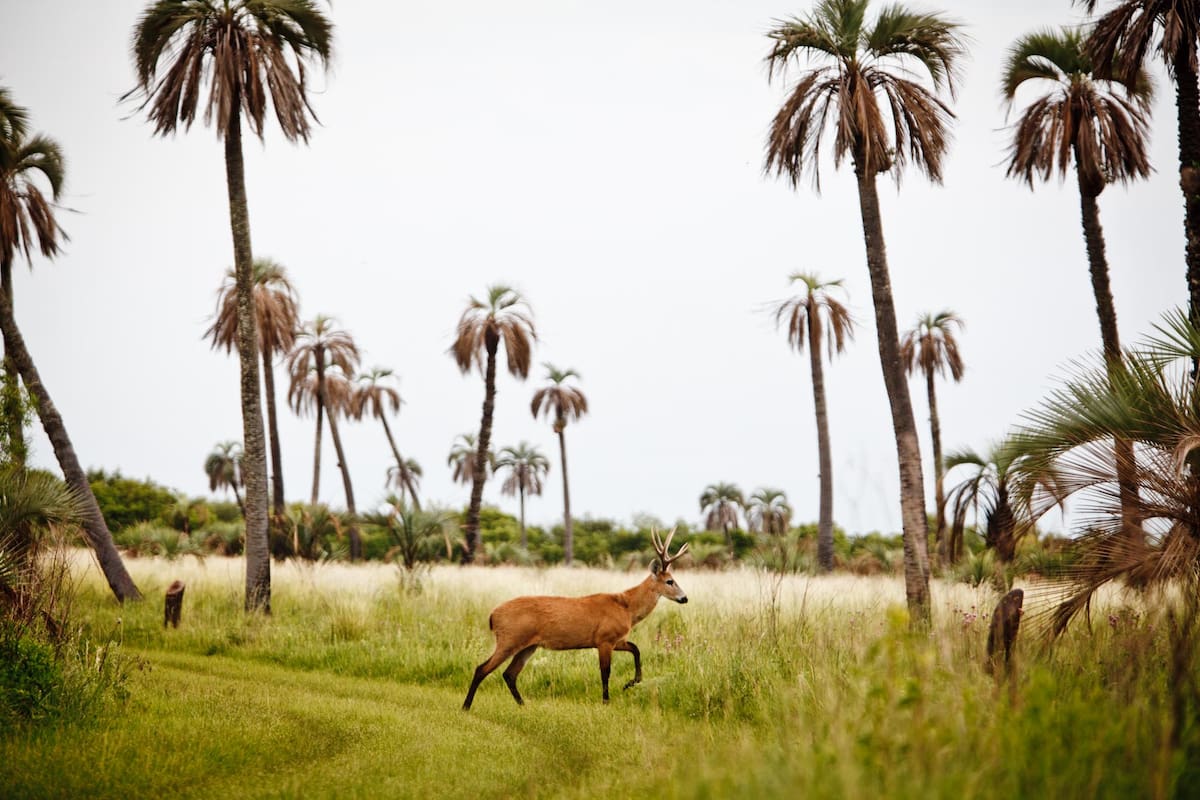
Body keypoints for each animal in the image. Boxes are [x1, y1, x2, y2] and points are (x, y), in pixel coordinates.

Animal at [462, 528, 689, 710]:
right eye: (670, 581)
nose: (685, 598)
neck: (626, 607)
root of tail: (493, 615)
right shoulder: (604, 639)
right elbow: (605, 672)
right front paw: (606, 701)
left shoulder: (615, 639)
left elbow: (636, 649)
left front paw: (629, 684)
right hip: (510, 639)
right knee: (482, 668)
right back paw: (466, 706)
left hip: (528, 646)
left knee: (509, 674)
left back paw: (523, 705)